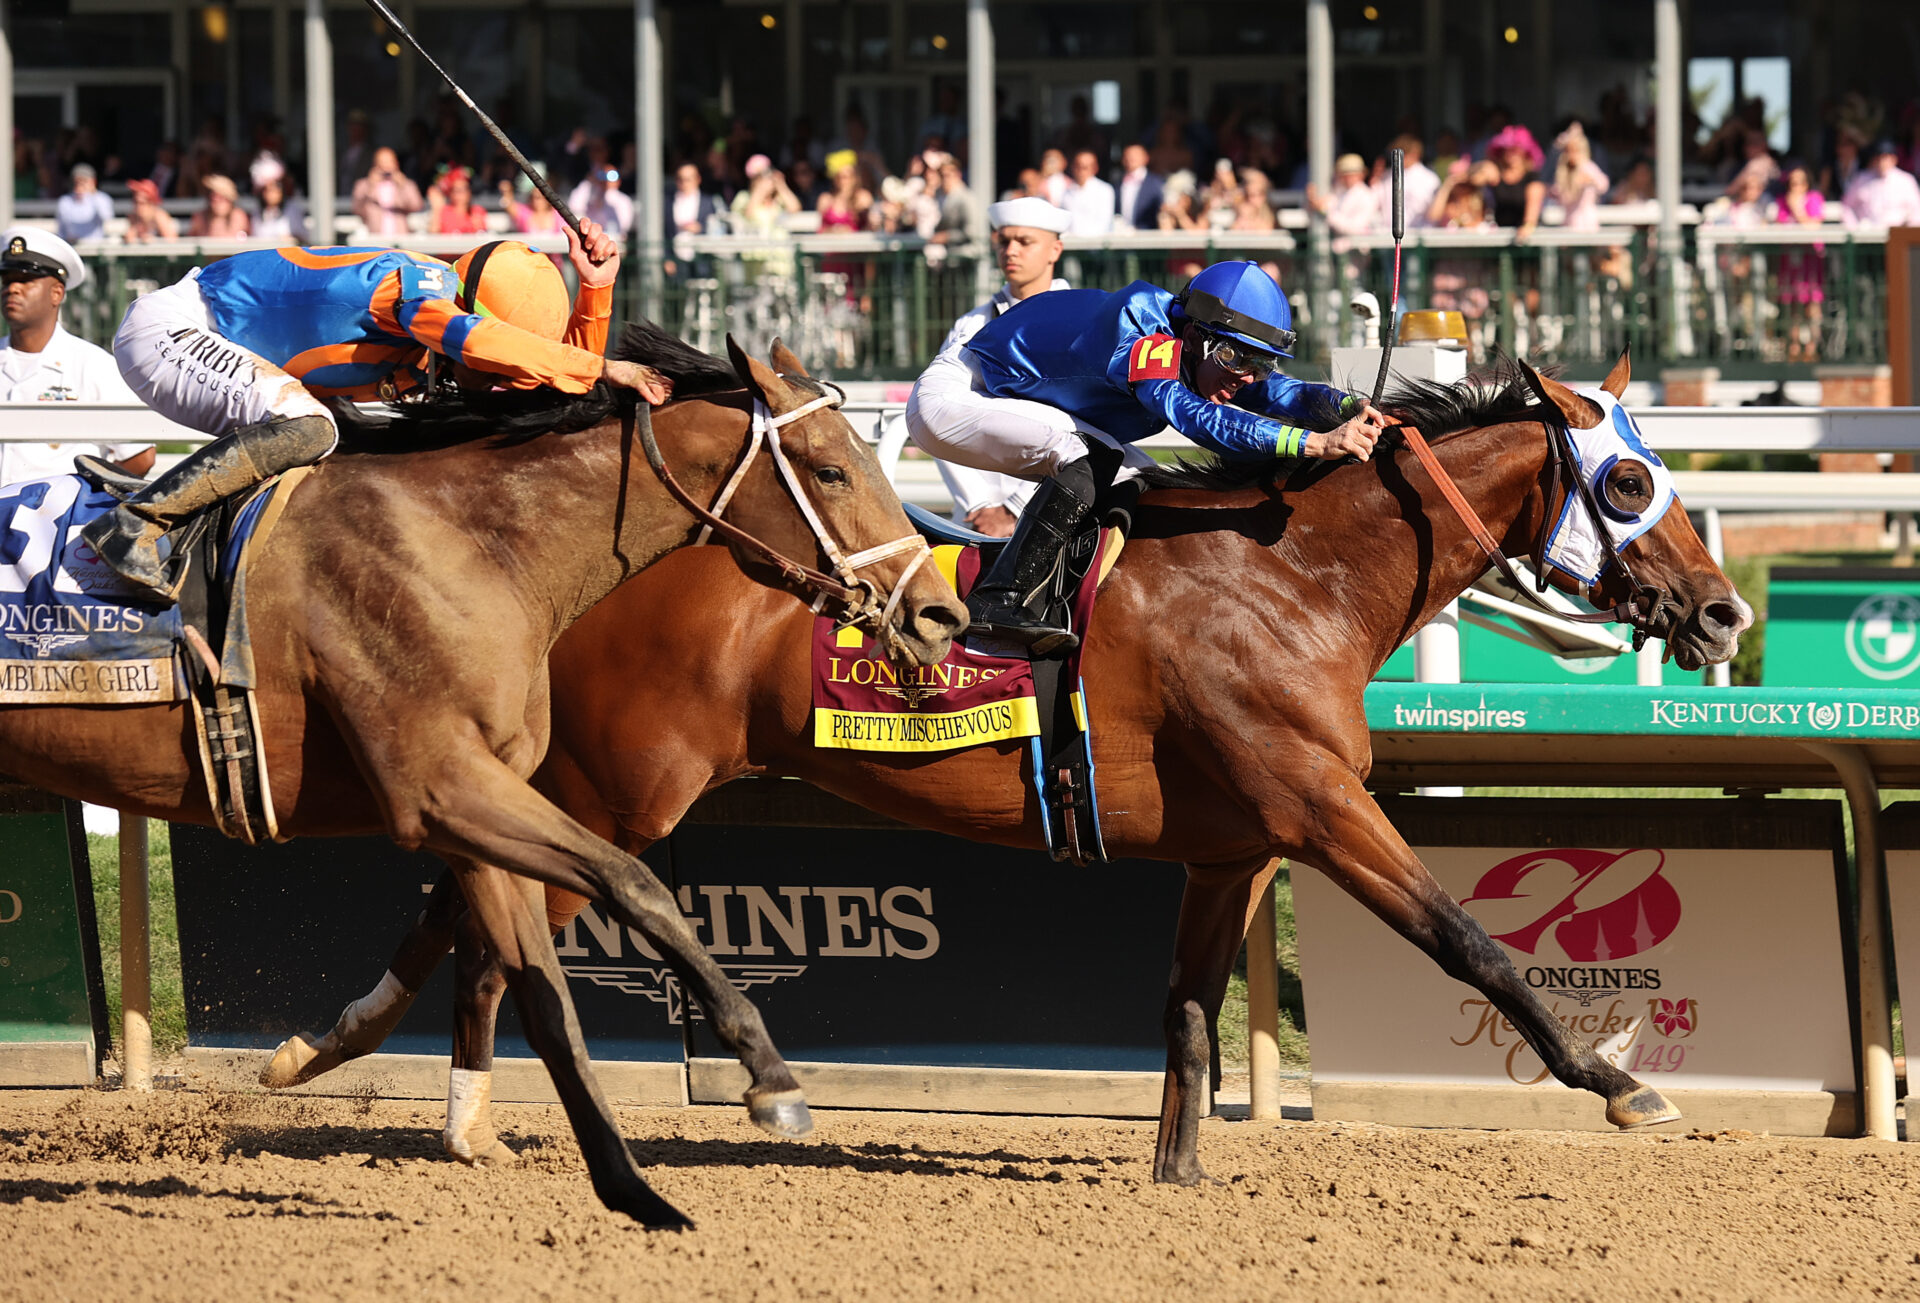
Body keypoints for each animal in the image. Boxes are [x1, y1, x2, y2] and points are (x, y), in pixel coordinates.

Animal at [0, 328, 960, 1235]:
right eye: (832, 469)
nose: (938, 613)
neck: (476, 541)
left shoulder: (481, 802)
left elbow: (541, 994)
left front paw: (631, 1189)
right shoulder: (439, 786)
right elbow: (636, 884)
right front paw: (770, 1079)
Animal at [270, 351, 1758, 1189]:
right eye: (1630, 483)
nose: (1724, 611)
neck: (1293, 575)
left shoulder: (1232, 844)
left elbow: (1188, 1006)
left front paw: (1179, 1169)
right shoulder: (1320, 809)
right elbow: (1475, 943)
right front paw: (1622, 1084)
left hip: (584, 784)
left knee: (465, 906)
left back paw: (346, 1059)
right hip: (620, 785)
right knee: (487, 911)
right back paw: (439, 1099)